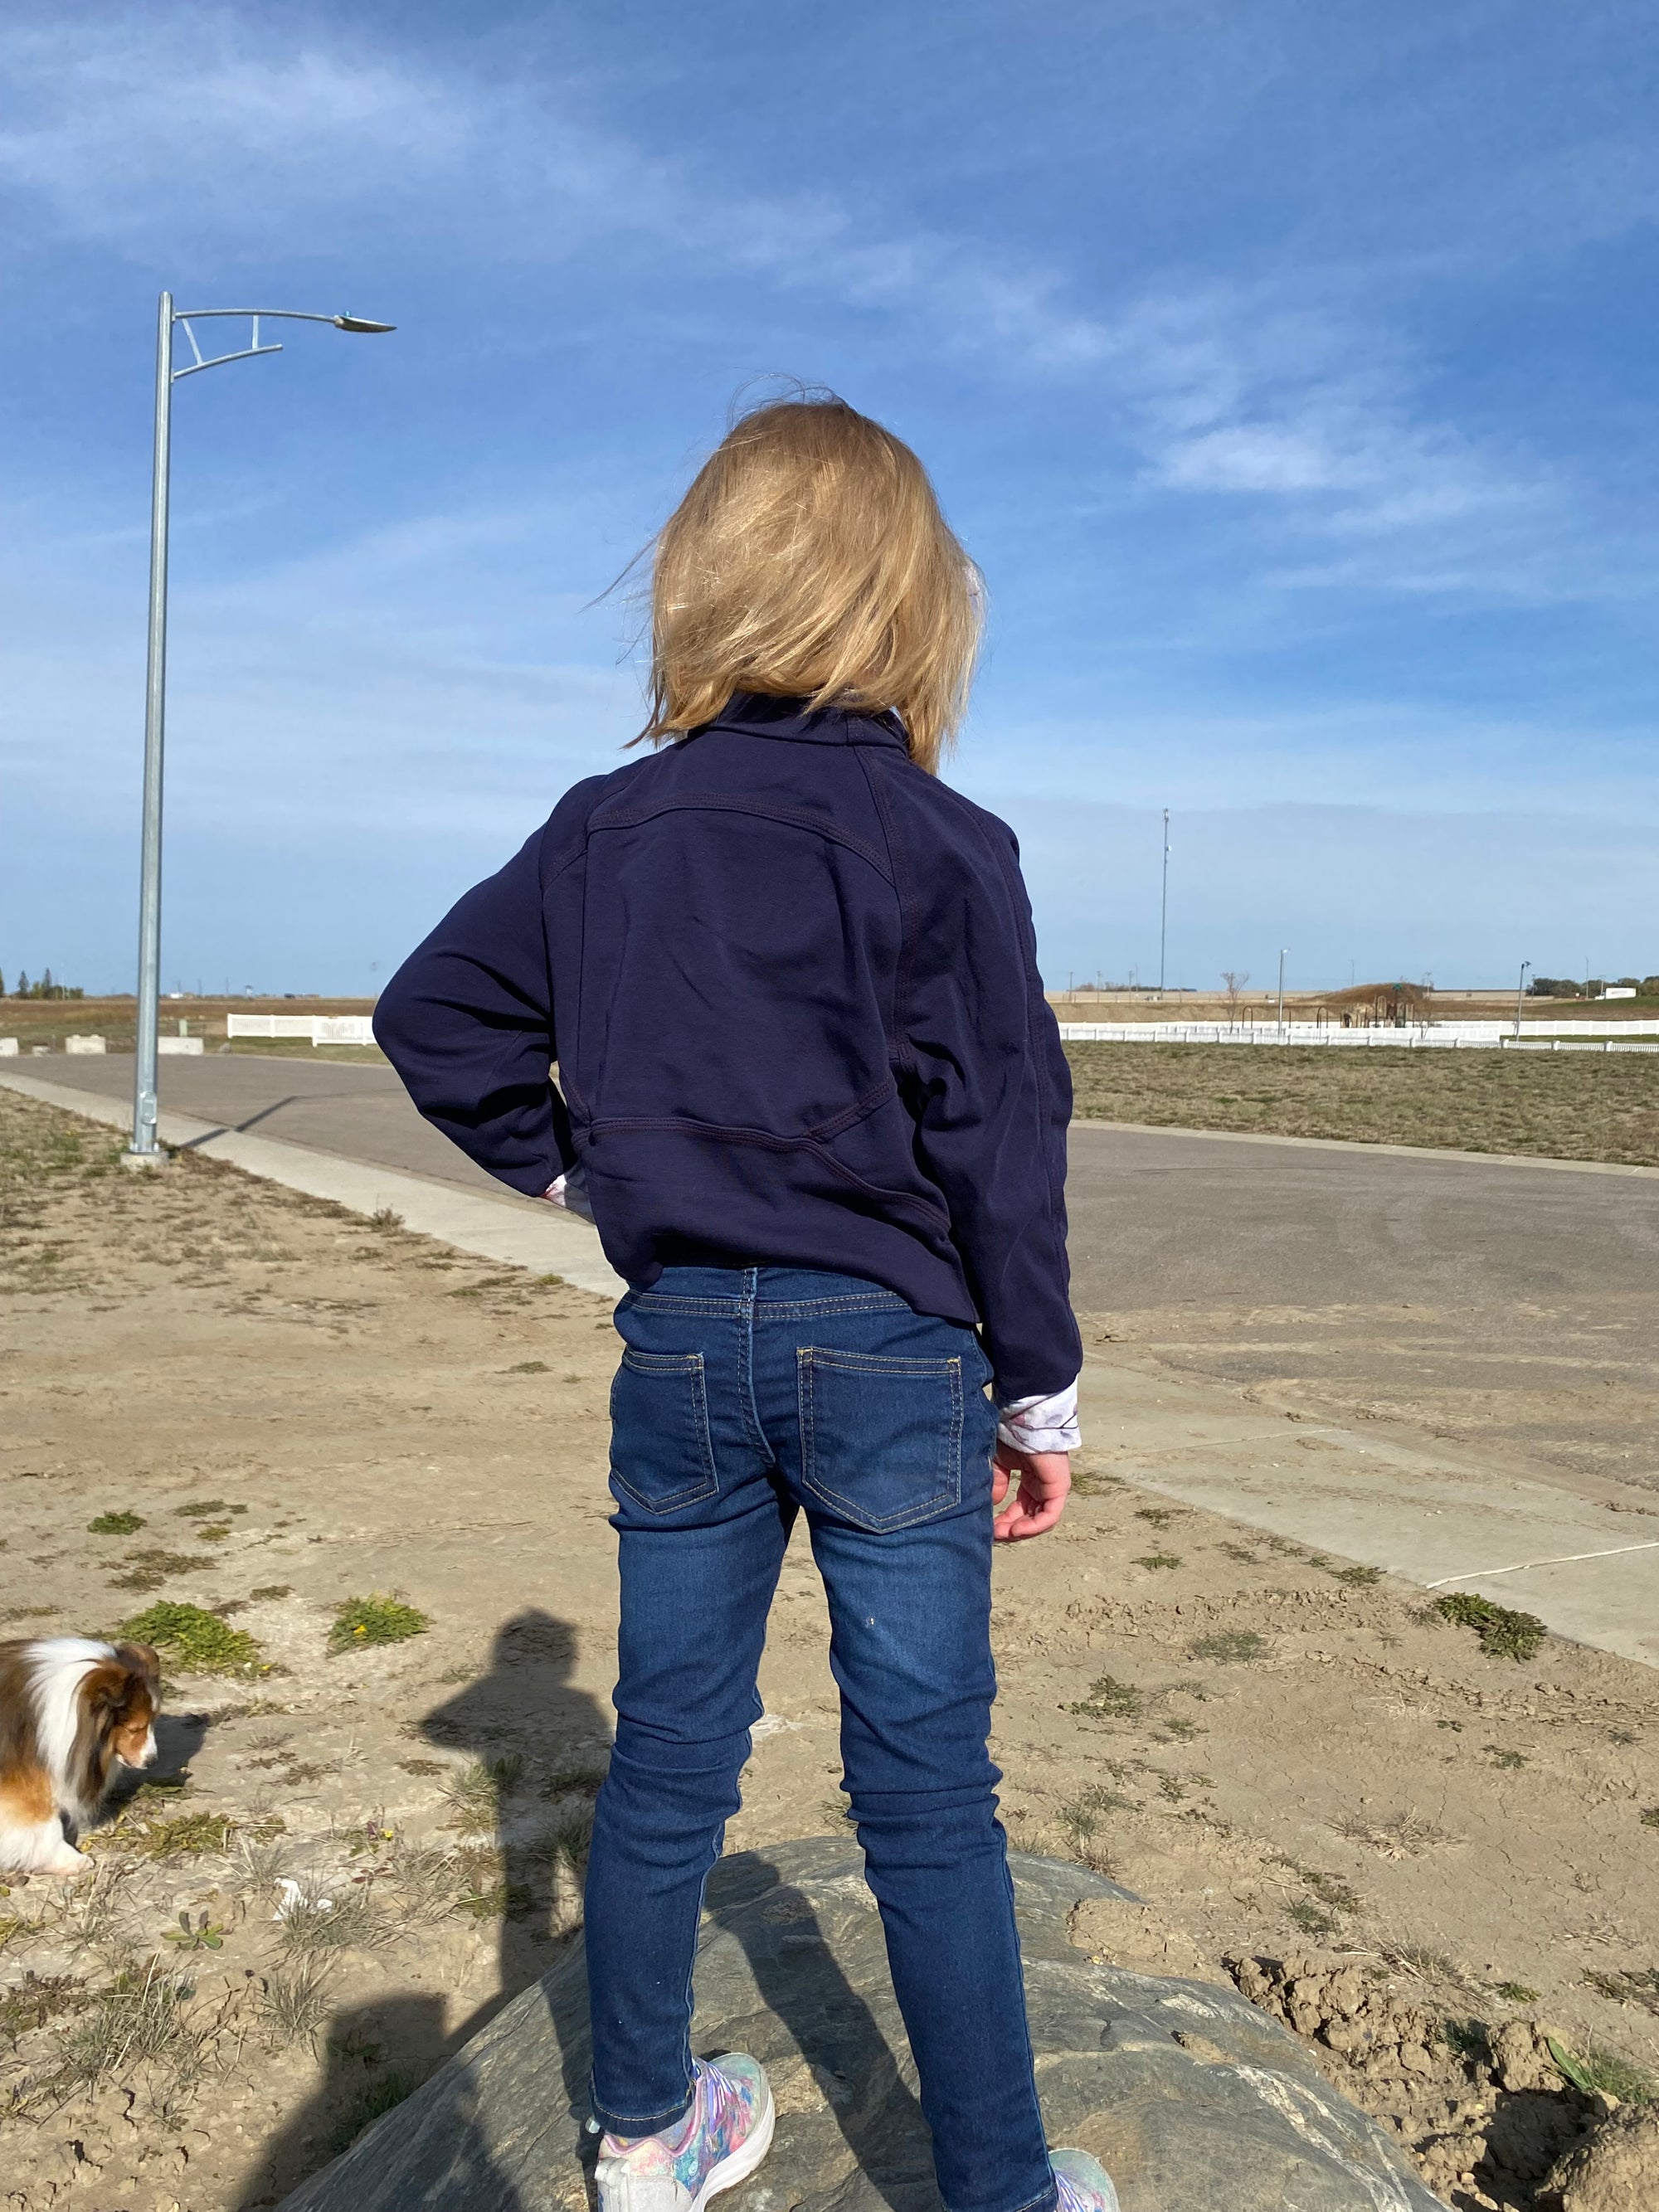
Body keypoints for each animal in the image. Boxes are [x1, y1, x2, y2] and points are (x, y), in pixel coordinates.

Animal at [0, 1637, 161, 1874]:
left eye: (153, 1721)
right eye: (135, 1728)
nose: (152, 1760)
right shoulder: (24, 1779)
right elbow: (46, 1822)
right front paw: (69, 1859)